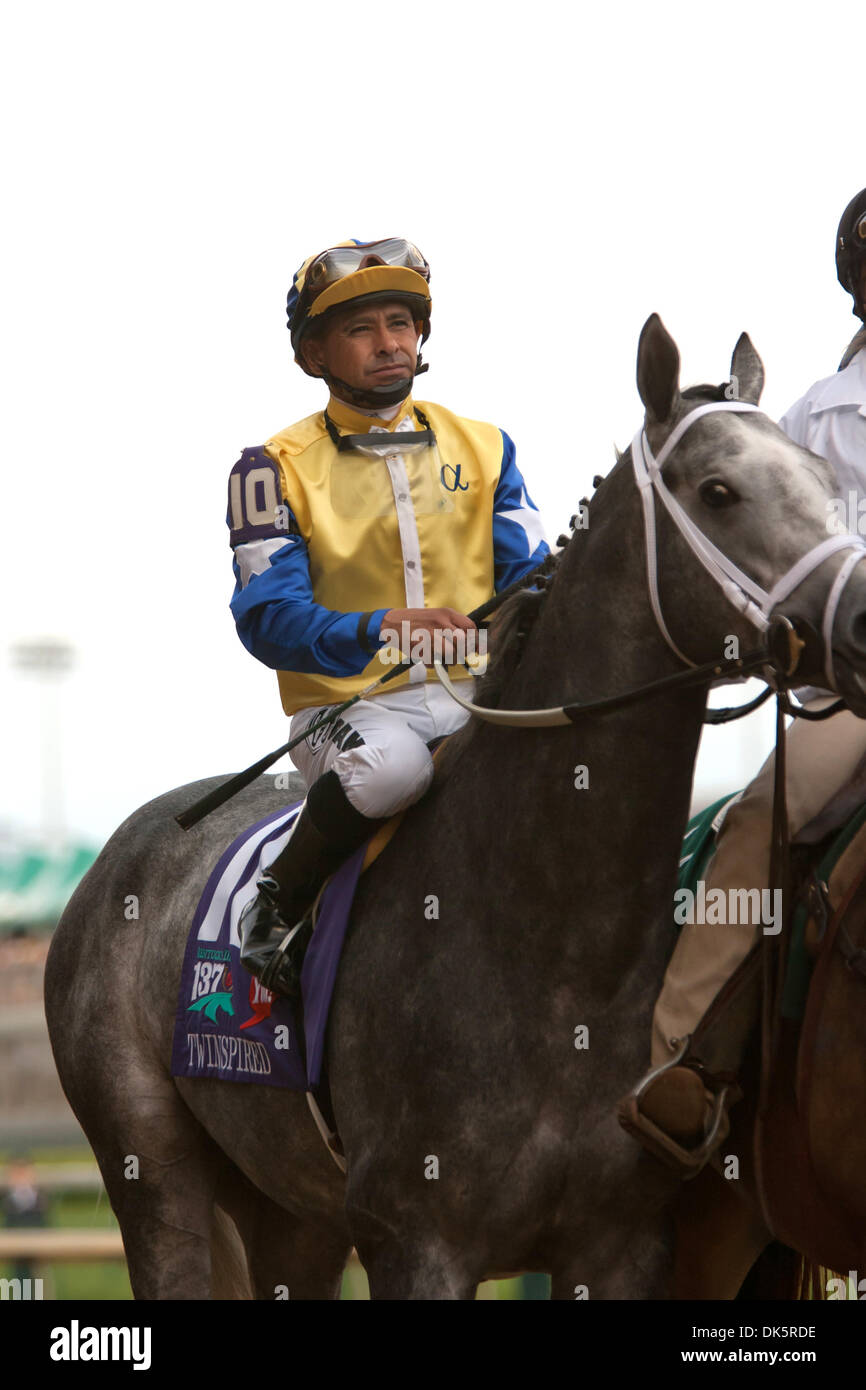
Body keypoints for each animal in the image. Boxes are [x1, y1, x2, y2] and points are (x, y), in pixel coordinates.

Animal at [45, 318, 866, 1301]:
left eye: (822, 479)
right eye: (718, 491)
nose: (864, 619)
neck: (550, 941)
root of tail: (118, 856)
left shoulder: (622, 1243)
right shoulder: (416, 1240)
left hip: (292, 1211)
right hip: (155, 1176)